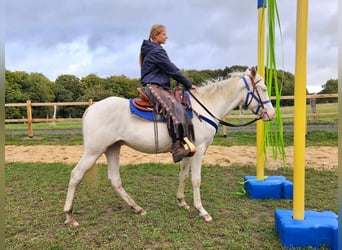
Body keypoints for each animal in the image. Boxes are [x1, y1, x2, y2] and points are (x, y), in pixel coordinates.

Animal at [62, 67, 276, 227]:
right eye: (263, 88)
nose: (272, 114)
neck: (204, 108)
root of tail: (91, 108)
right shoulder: (199, 150)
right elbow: (196, 180)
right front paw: (202, 211)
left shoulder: (188, 150)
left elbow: (183, 174)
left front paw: (182, 202)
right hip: (93, 151)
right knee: (75, 175)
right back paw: (69, 216)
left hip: (113, 148)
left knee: (114, 179)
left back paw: (137, 208)